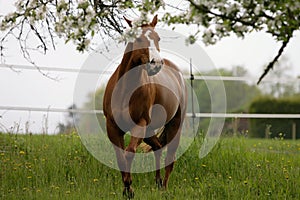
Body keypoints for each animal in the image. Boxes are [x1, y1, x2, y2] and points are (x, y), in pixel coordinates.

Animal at [103, 14, 188, 198]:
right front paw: (126, 189)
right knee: (157, 148)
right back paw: (157, 183)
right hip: (150, 130)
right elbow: (120, 158)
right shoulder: (112, 127)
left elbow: (129, 153)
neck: (125, 89)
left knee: (170, 158)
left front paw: (129, 188)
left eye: (158, 38)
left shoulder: (139, 124)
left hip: (175, 125)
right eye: (138, 38)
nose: (156, 63)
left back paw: (164, 188)